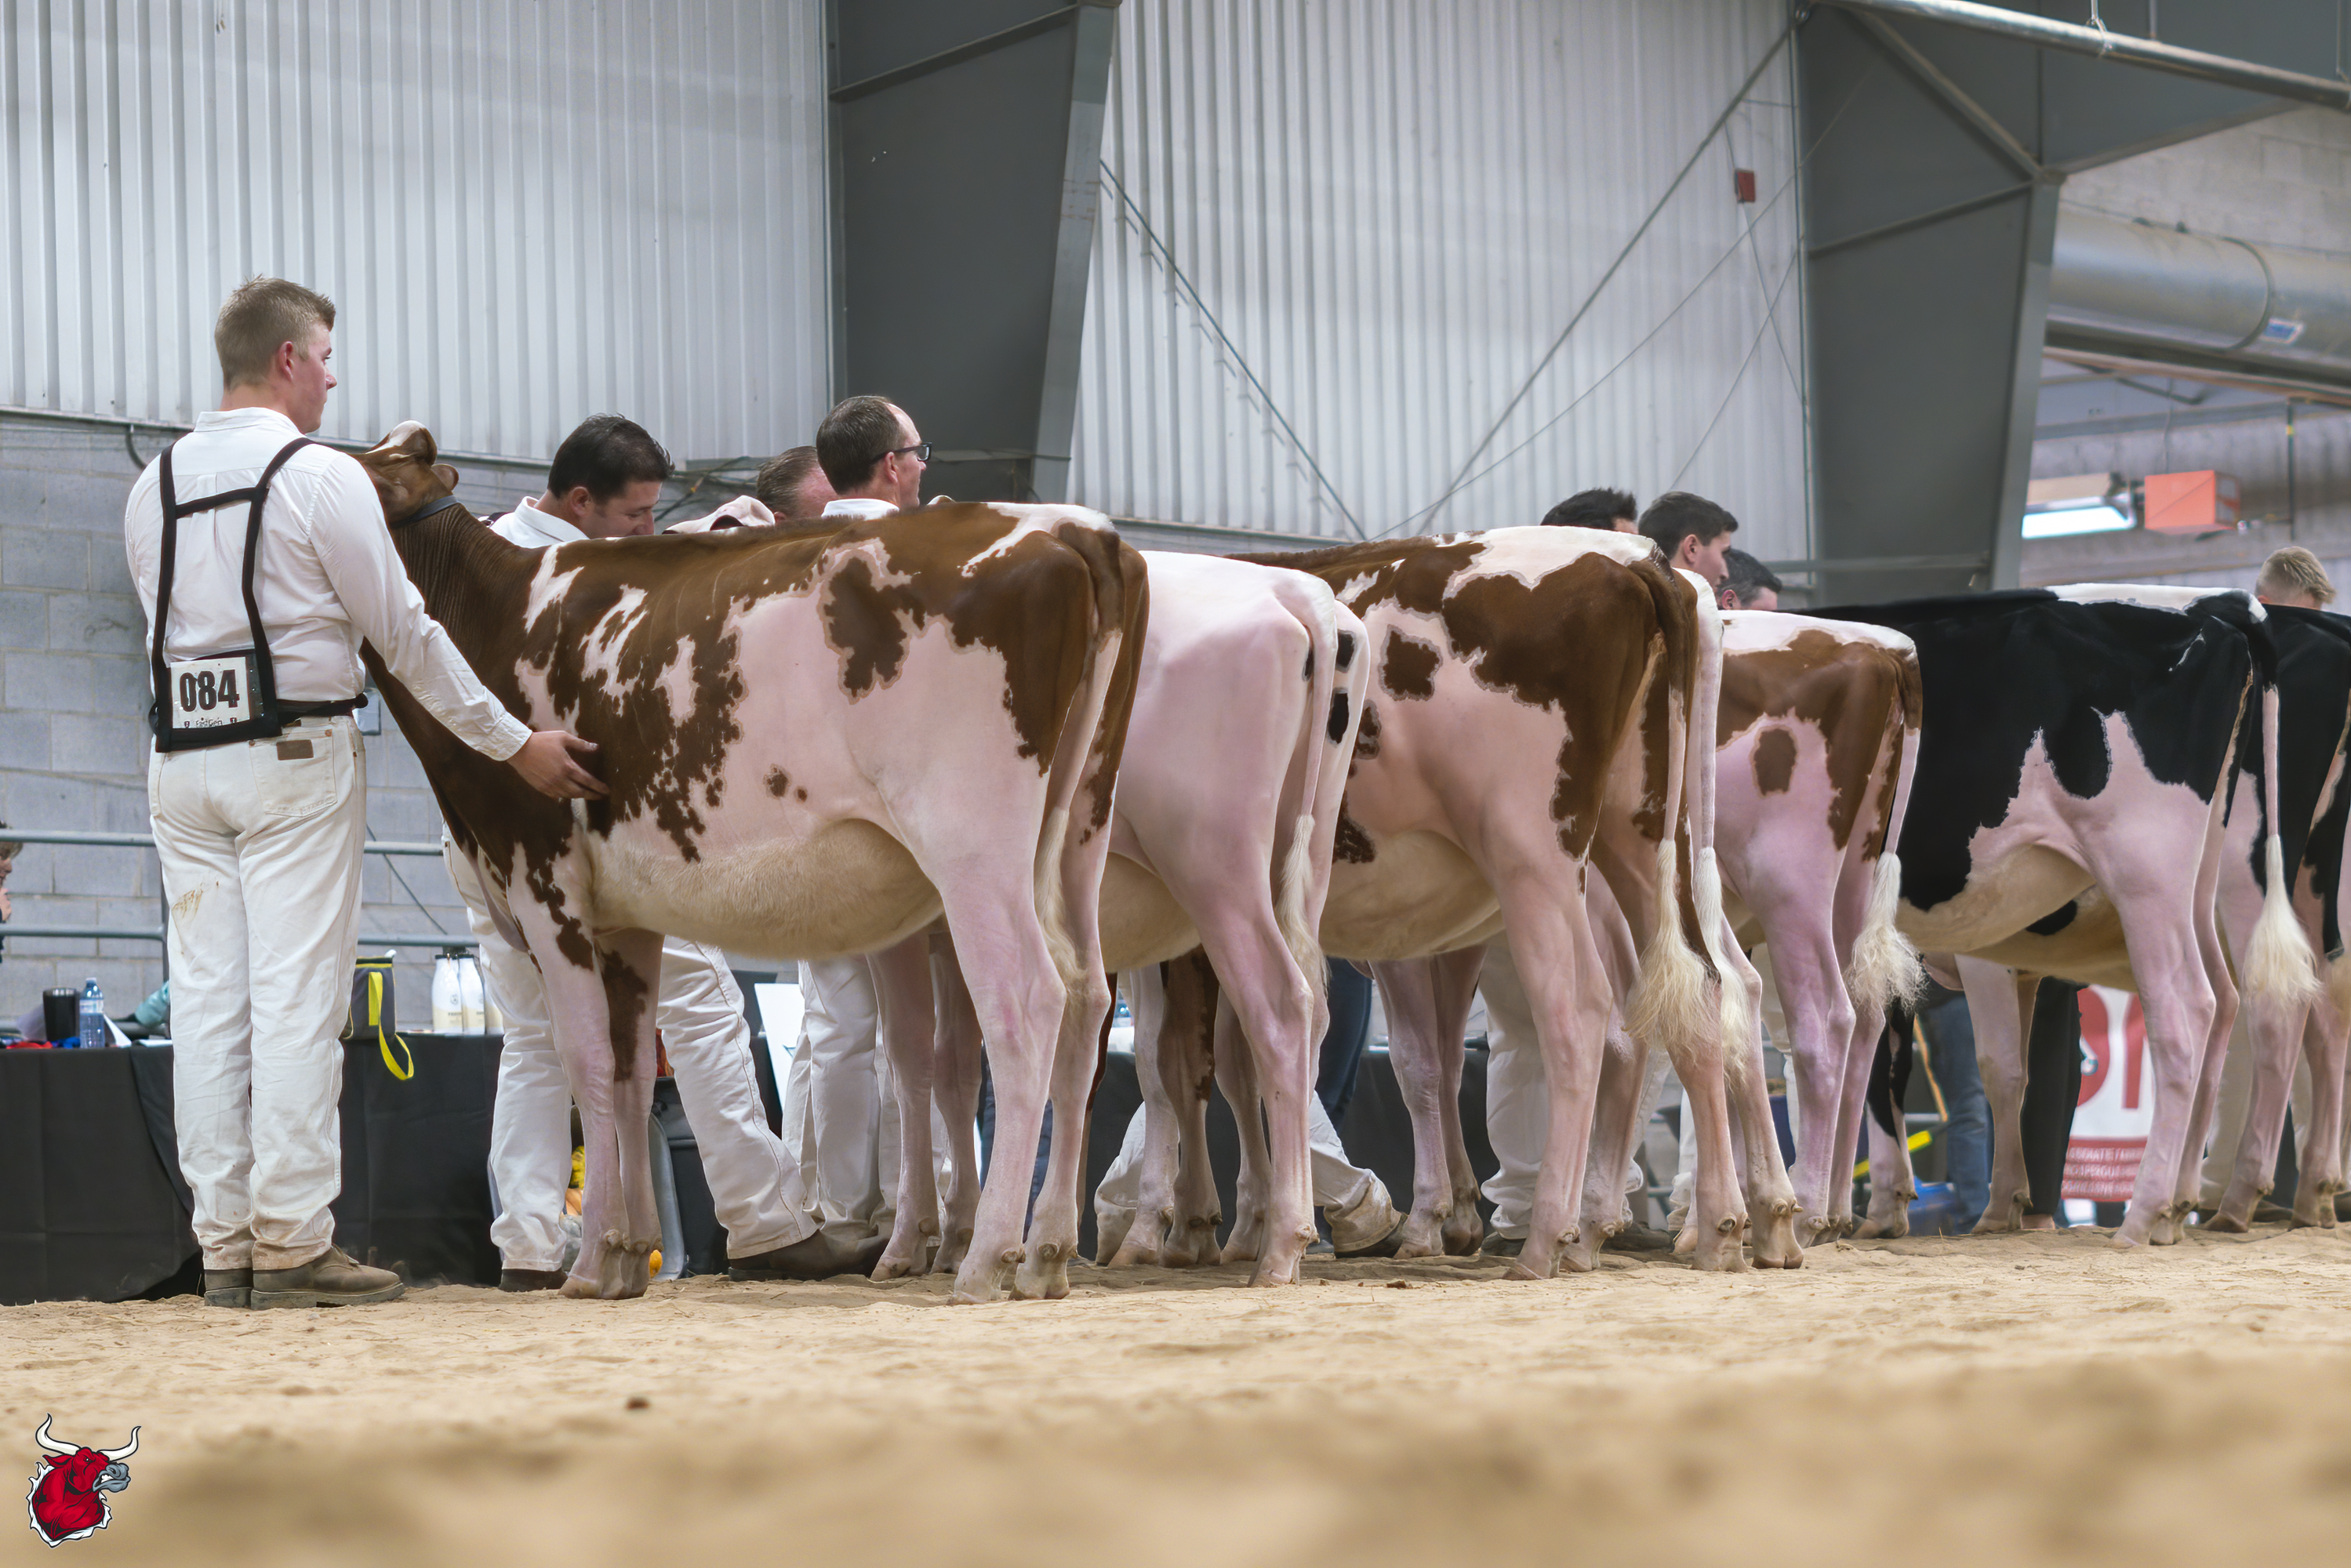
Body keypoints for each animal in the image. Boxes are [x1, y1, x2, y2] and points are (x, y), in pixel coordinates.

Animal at [354, 423, 1147, 1304]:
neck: (493, 613)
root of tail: (1069, 528)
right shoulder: (626, 915)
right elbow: (631, 1071)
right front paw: (629, 1251)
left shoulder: (545, 881)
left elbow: (585, 1061)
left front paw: (591, 1262)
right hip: (1077, 827)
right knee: (1085, 999)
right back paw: (1045, 1253)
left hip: (973, 843)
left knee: (1028, 1002)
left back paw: (986, 1259)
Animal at [1819, 586, 2315, 1246]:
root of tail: (2214, 606)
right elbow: (1961, 1067)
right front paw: (1969, 1202)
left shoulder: (1975, 951)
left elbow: (1988, 1065)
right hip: (2199, 883)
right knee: (2229, 1003)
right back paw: (2182, 1203)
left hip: (2165, 877)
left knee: (2211, 1007)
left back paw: (2163, 1210)